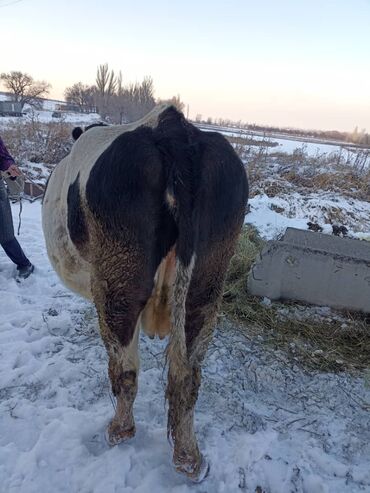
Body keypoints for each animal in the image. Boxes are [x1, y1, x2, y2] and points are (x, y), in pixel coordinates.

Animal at [42, 104, 249, 480]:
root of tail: (173, 131)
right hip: (206, 283)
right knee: (187, 372)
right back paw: (188, 458)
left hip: (119, 280)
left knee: (124, 366)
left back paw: (119, 430)